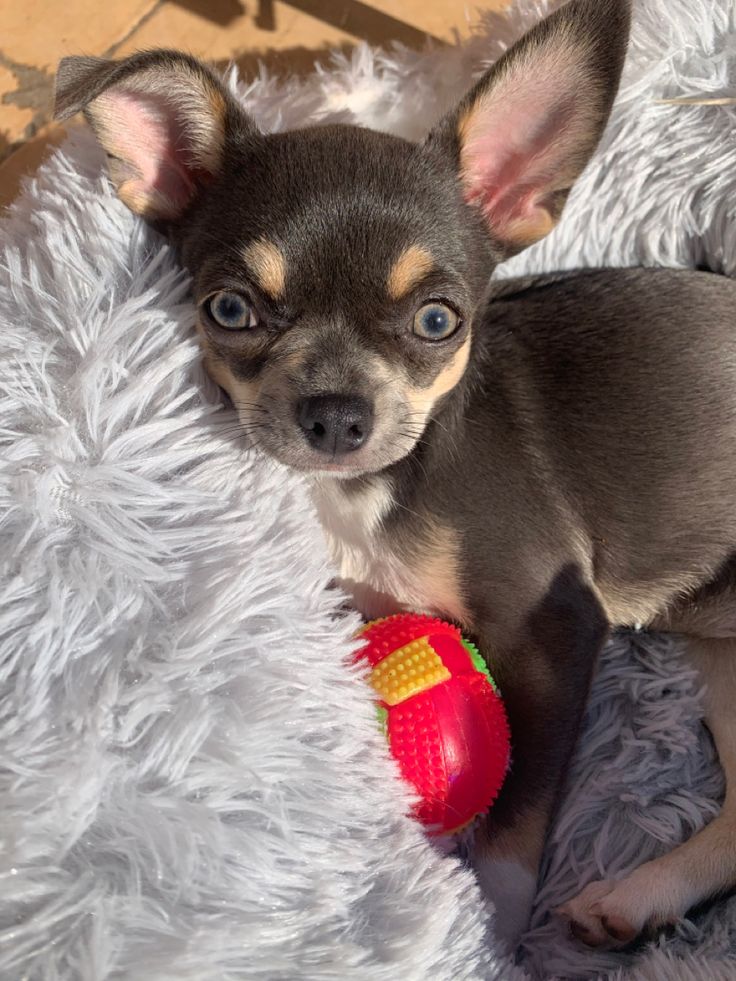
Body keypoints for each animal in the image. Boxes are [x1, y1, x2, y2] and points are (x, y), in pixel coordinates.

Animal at [54, 0, 736, 952]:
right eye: (229, 308)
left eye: (438, 321)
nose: (337, 412)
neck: (374, 490)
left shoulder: (556, 626)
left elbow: (520, 813)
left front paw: (490, 930)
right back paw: (640, 897)